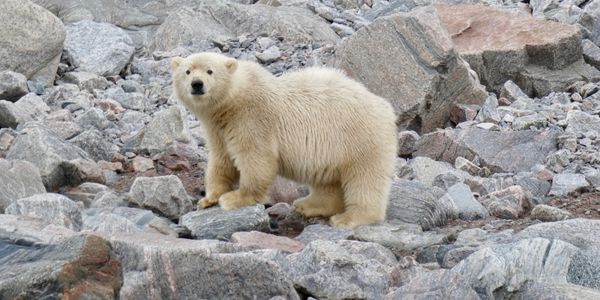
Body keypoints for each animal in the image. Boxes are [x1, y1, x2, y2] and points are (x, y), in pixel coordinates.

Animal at [171, 52, 396, 227]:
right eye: (188, 71)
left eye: (210, 71)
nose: (197, 84)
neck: (233, 101)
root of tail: (386, 108)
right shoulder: (218, 129)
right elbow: (221, 159)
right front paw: (208, 199)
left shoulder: (252, 118)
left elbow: (256, 159)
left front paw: (234, 198)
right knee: (328, 181)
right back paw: (308, 205)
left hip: (359, 138)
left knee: (364, 179)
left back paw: (348, 218)